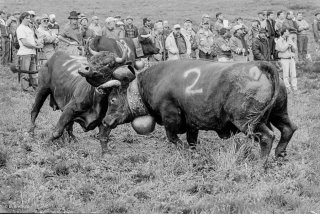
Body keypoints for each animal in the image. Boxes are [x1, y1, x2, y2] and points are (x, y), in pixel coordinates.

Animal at [102, 60, 298, 160]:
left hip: (248, 122)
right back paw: (280, 155)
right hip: (278, 113)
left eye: (112, 99)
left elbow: (173, 138)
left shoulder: (170, 117)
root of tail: (260, 66)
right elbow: (191, 141)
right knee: (288, 128)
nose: (105, 121)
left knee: (267, 137)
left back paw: (261, 163)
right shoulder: (192, 123)